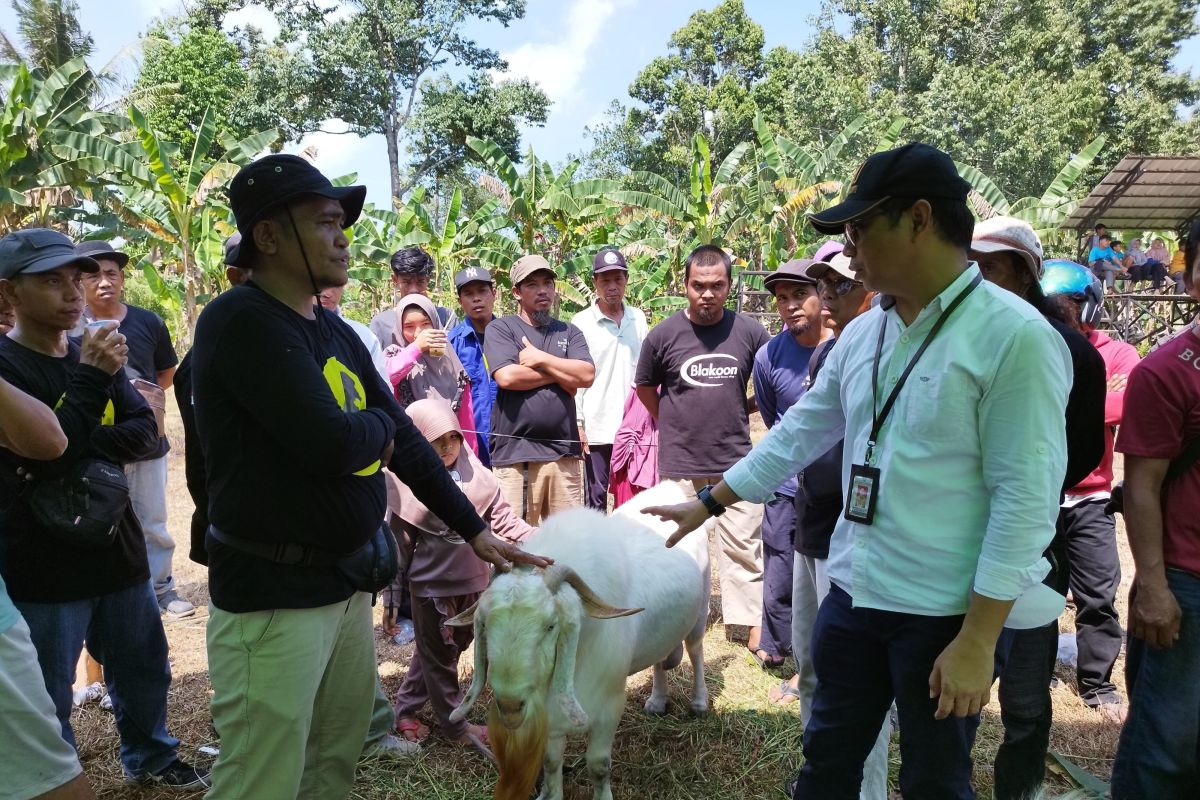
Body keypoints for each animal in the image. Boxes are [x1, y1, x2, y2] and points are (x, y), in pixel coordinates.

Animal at [451, 482, 710, 800]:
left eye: (551, 625)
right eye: (485, 624)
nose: (510, 706)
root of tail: (670, 487)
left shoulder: (610, 704)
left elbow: (598, 764)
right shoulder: (551, 716)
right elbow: (551, 762)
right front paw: (549, 794)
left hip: (700, 612)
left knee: (696, 651)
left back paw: (699, 702)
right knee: (661, 660)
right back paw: (657, 702)